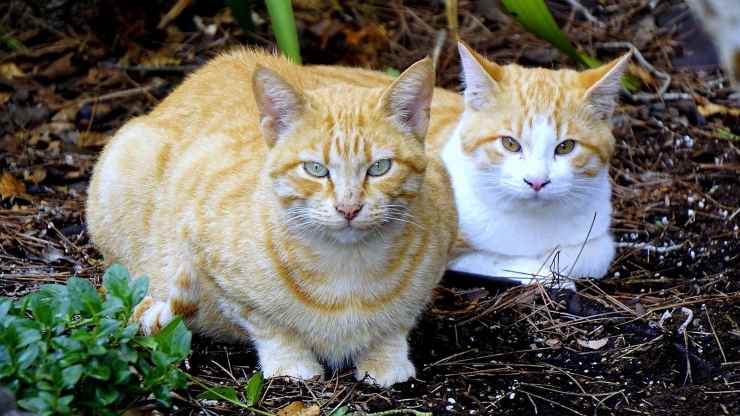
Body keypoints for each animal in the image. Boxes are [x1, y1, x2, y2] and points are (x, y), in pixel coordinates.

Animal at [86, 48, 456, 386]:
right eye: (315, 169)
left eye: (380, 167)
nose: (348, 208)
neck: (349, 265)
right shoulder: (210, 262)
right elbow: (267, 323)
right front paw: (291, 364)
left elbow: (398, 321)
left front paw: (386, 359)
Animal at [424, 43, 628, 290]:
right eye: (510, 143)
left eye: (565, 147)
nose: (537, 181)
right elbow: (499, 260)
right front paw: (552, 277)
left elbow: (595, 253)